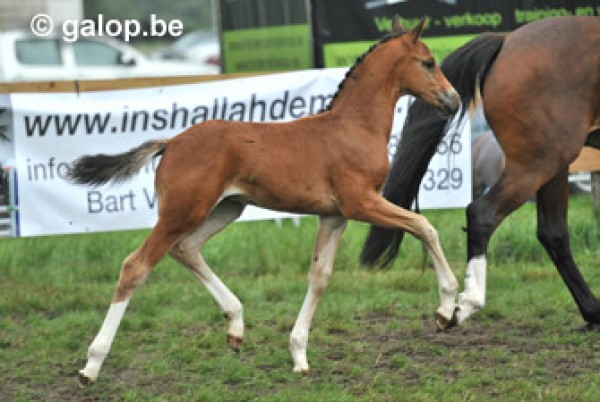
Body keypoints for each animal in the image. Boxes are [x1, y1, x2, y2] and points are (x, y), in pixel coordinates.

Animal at [70, 17, 460, 384]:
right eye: (428, 62)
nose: (453, 99)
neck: (354, 127)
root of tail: (172, 142)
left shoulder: (334, 215)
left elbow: (320, 276)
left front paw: (299, 355)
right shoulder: (361, 203)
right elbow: (424, 226)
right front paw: (446, 309)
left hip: (227, 207)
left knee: (186, 249)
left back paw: (236, 327)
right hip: (182, 212)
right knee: (136, 266)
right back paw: (92, 365)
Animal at [360, 16, 600, 330]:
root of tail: (506, 40)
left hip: (554, 164)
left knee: (553, 232)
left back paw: (592, 311)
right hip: (539, 163)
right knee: (482, 214)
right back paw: (466, 304)